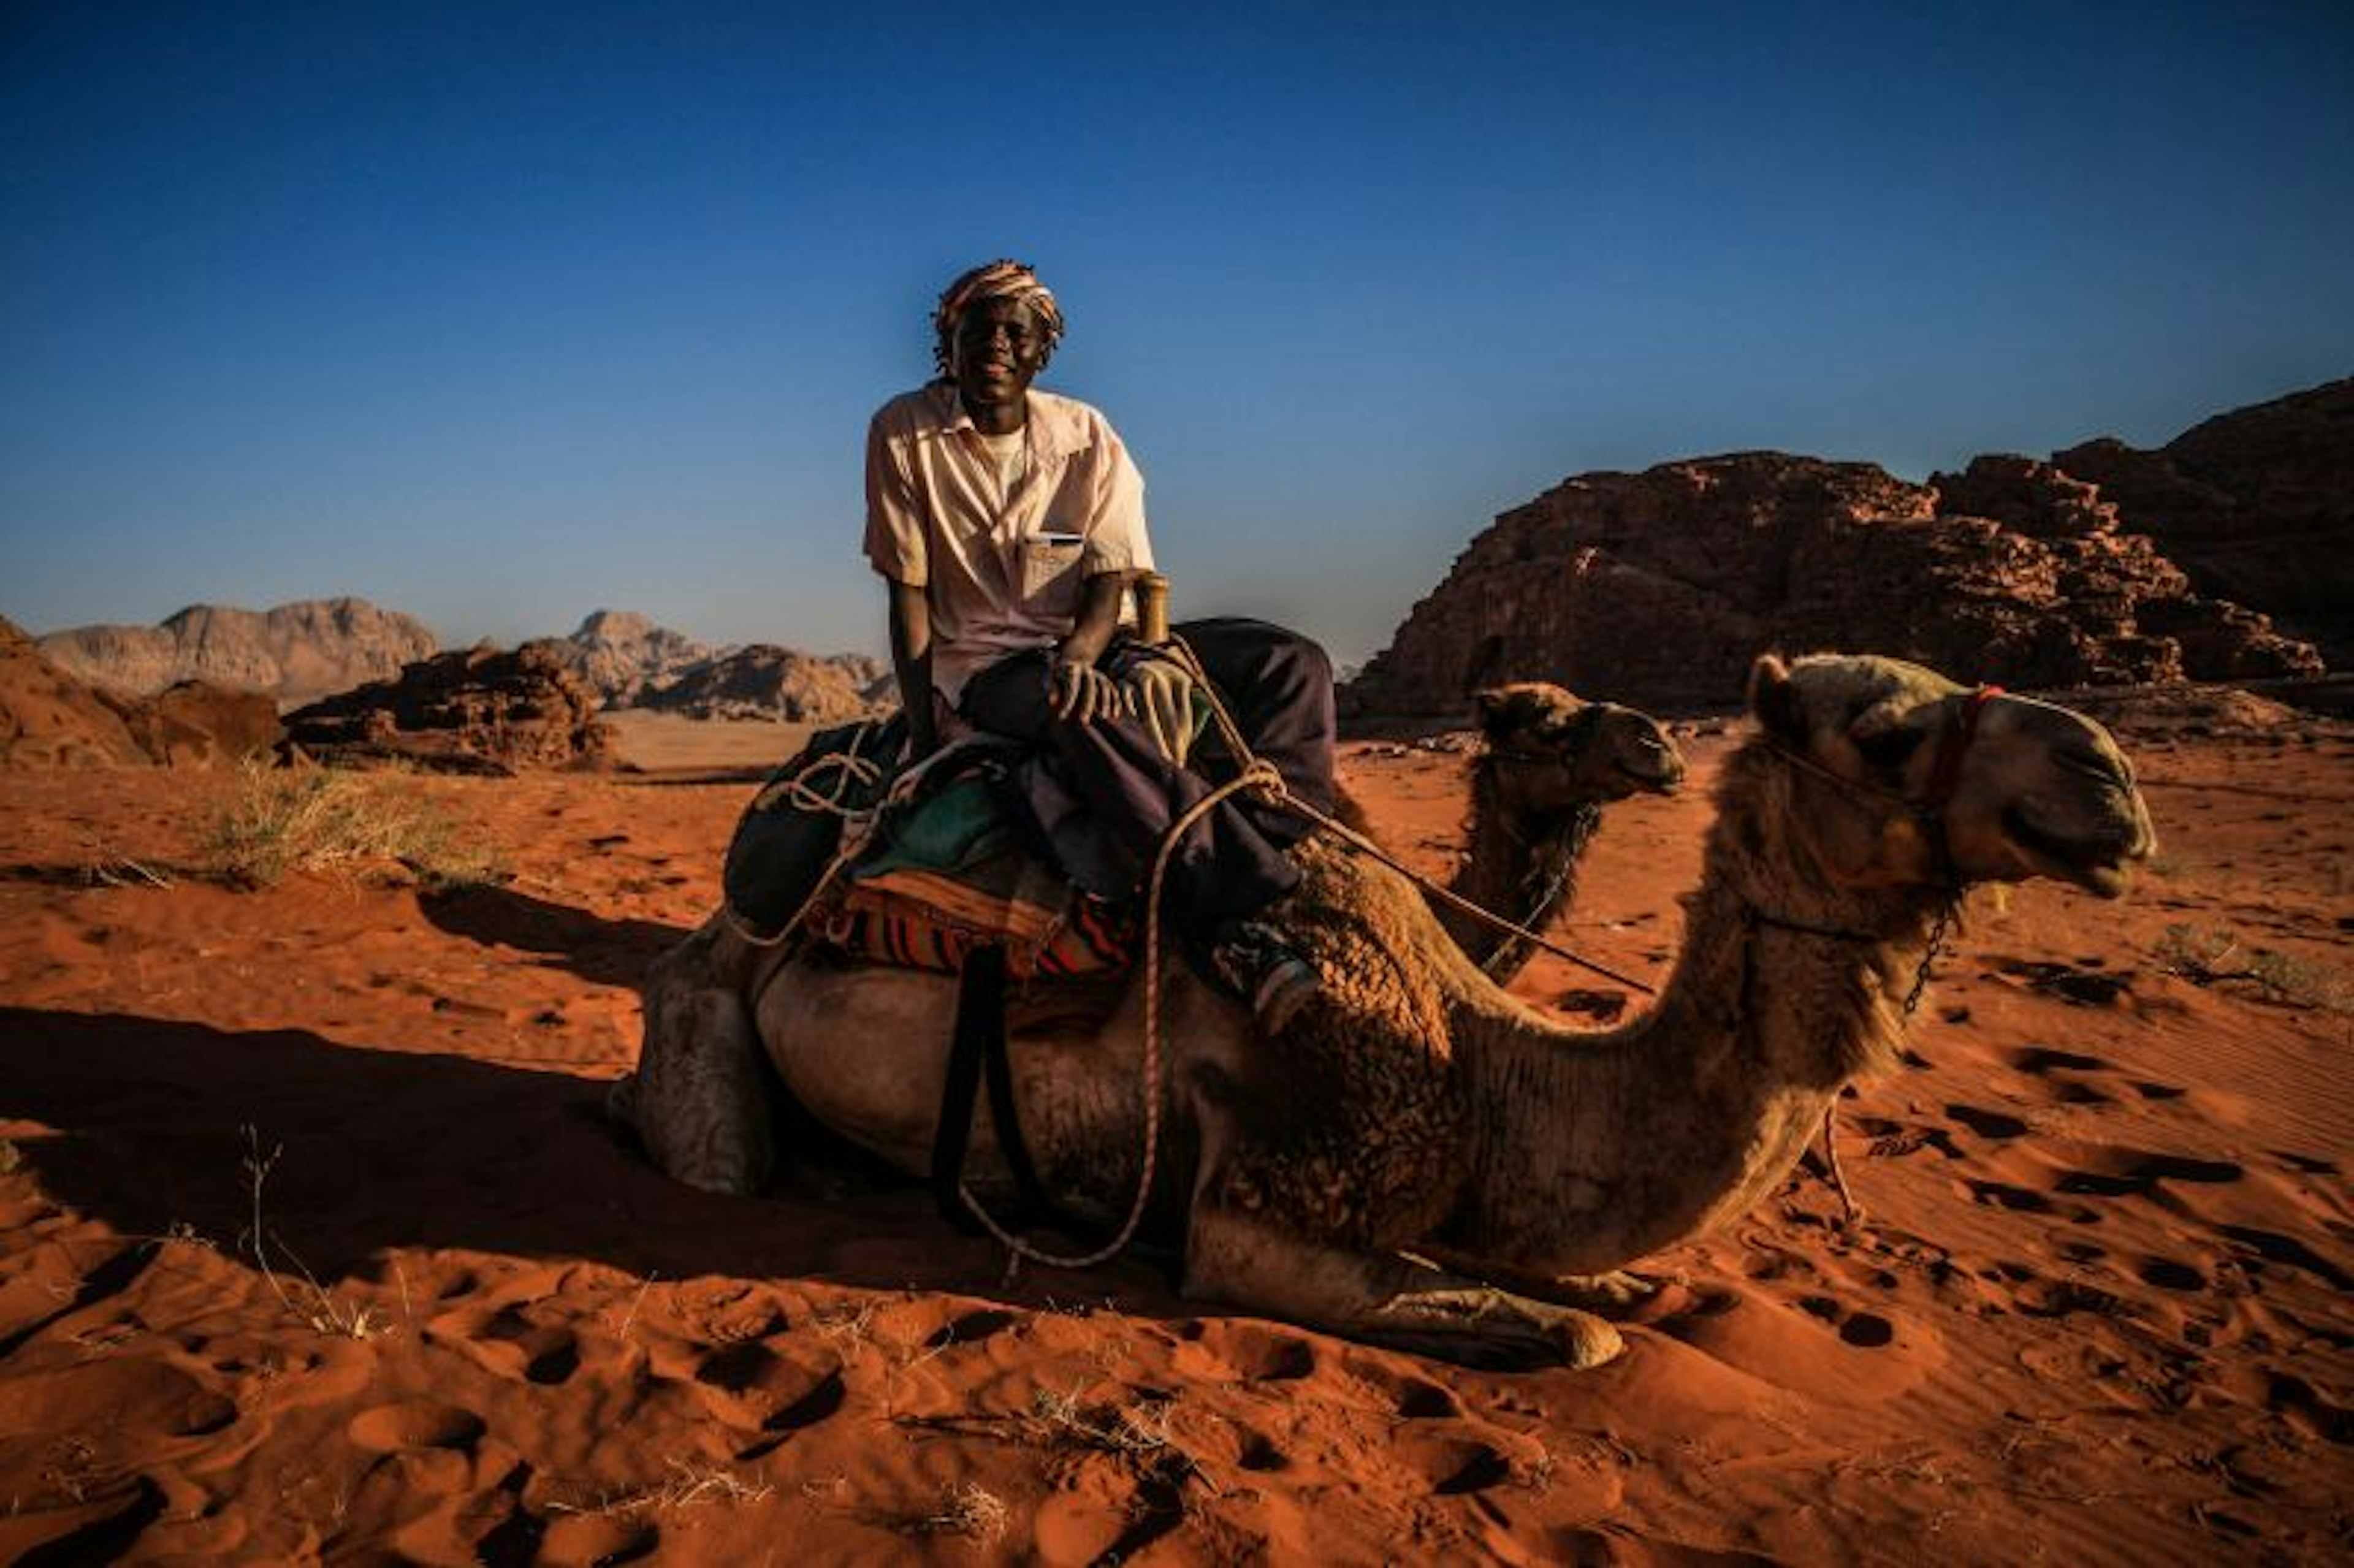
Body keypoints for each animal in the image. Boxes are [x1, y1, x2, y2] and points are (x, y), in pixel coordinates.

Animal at [622, 653, 2153, 1368]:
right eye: (1885, 733)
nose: (2111, 780)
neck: (1484, 1058)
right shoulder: (1263, 1205)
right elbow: (1580, 1333)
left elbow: (1616, 1291)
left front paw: (1611, 1285)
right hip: (716, 989)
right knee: (709, 1133)